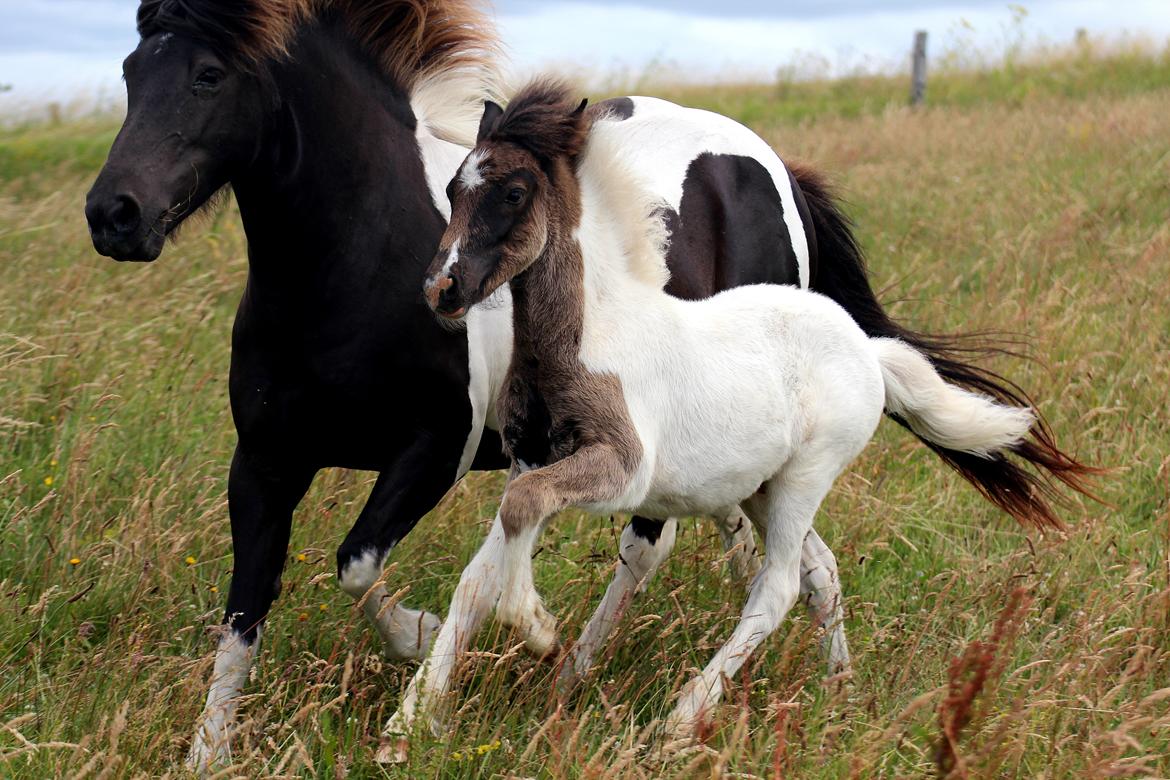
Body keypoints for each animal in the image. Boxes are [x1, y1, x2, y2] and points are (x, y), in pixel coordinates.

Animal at [84, 0, 1095, 767]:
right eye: (130, 69)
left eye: (209, 75)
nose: (114, 215)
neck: (346, 267)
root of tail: (773, 166)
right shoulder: (264, 461)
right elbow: (246, 606)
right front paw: (207, 753)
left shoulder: (434, 451)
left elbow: (361, 566)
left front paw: (443, 646)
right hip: (748, 464)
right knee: (795, 562)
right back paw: (819, 691)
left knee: (674, 553)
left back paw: (596, 682)